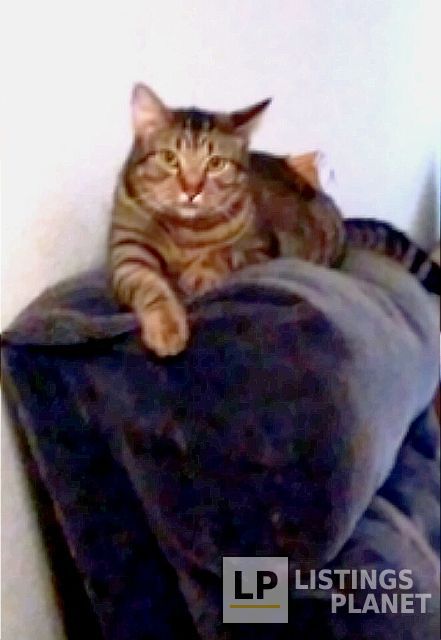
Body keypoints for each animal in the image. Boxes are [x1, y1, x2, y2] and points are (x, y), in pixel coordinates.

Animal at [109, 84, 440, 357]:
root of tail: (342, 221)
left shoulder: (261, 248)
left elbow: (224, 253)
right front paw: (166, 327)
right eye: (169, 158)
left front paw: (201, 273)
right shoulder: (128, 252)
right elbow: (149, 284)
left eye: (216, 163)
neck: (185, 230)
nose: (192, 190)